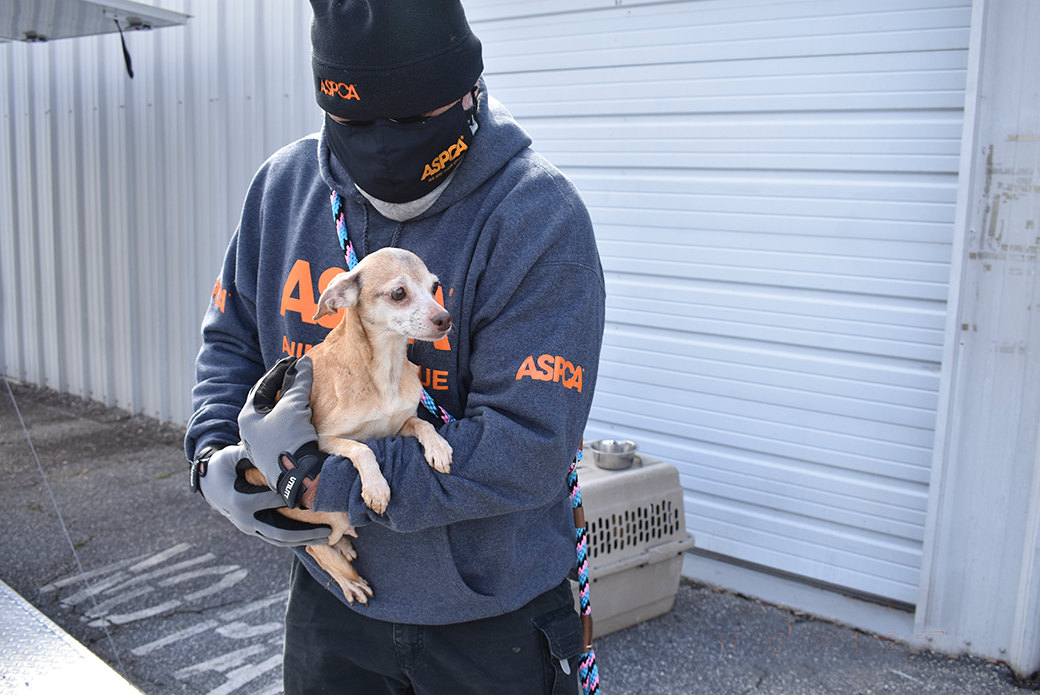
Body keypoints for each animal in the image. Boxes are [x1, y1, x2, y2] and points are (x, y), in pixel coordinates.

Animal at [247, 248, 455, 603]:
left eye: (435, 287)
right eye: (398, 293)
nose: (445, 319)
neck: (384, 369)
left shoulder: (399, 425)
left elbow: (422, 424)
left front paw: (438, 448)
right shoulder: (324, 439)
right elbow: (361, 449)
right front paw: (376, 487)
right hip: (325, 520)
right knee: (315, 546)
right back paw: (347, 577)